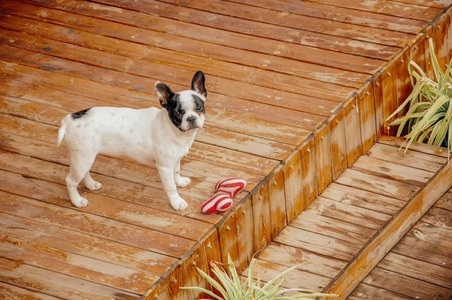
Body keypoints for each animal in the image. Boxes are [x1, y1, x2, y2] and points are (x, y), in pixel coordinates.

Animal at [56, 71, 207, 210]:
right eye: (178, 113)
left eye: (199, 108)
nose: (191, 118)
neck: (175, 130)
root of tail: (69, 119)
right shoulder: (164, 167)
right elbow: (171, 187)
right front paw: (177, 202)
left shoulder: (175, 160)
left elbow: (176, 171)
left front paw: (180, 181)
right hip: (82, 158)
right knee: (70, 181)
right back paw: (77, 201)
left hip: (85, 157)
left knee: (84, 173)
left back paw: (91, 184)